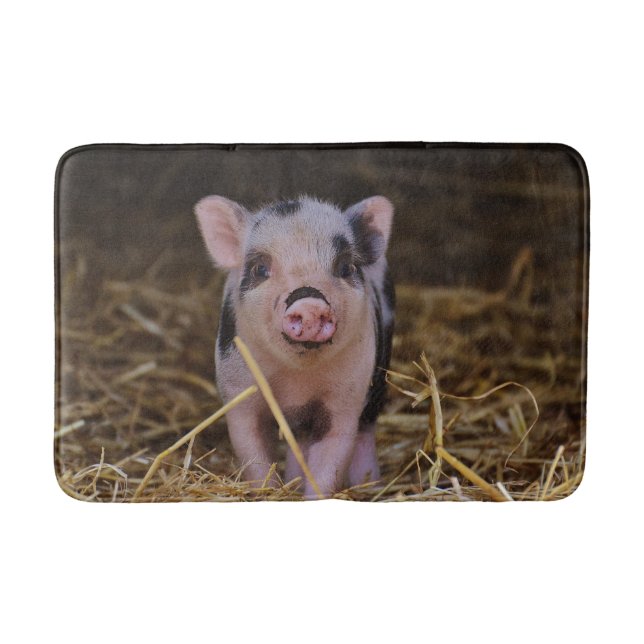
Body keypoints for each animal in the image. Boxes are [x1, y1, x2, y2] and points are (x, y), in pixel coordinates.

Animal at [194, 194, 395, 498]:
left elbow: (330, 460)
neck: (297, 381)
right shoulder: (239, 393)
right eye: (260, 269)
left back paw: (370, 486)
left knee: (365, 431)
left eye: (345, 267)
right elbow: (253, 454)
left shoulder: (346, 399)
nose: (309, 303)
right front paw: (270, 493)